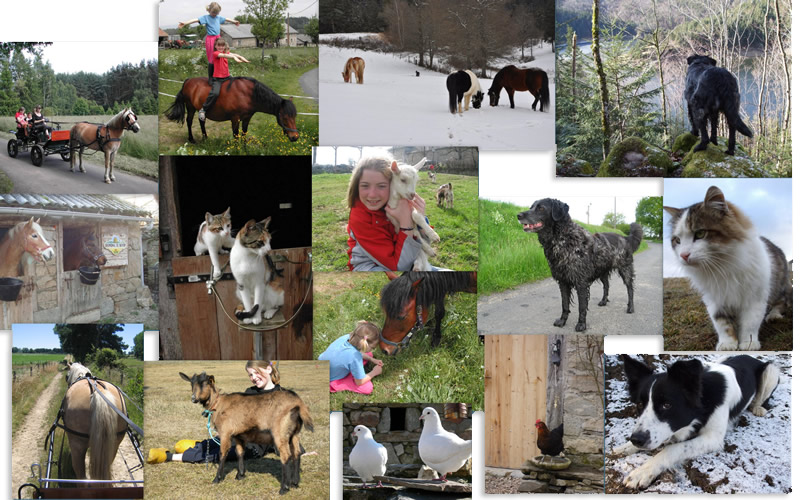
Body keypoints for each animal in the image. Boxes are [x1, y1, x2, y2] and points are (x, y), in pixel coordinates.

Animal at [163, 76, 300, 143]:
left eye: (294, 116)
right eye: (284, 117)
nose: (295, 137)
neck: (249, 94)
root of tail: (188, 80)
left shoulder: (246, 118)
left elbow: (243, 135)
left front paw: (244, 149)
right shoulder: (235, 119)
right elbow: (235, 136)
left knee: (202, 121)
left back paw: (205, 138)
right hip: (190, 107)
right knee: (189, 121)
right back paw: (191, 139)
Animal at [180, 372, 314, 492]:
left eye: (205, 383)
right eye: (191, 383)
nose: (193, 398)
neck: (217, 404)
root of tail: (298, 403)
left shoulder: (225, 432)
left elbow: (222, 454)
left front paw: (217, 479)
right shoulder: (238, 436)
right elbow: (240, 453)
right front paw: (240, 475)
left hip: (280, 432)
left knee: (286, 455)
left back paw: (284, 488)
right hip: (294, 434)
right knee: (297, 453)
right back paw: (295, 483)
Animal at [520, 198, 644, 332]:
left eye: (541, 208)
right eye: (531, 207)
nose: (519, 215)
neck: (562, 239)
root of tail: (624, 237)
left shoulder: (581, 282)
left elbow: (582, 307)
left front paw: (581, 324)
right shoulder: (563, 281)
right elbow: (564, 304)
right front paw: (562, 321)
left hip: (625, 270)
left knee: (630, 289)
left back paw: (630, 307)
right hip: (602, 271)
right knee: (606, 286)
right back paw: (604, 301)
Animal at [664, 185, 792, 352]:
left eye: (700, 233)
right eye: (677, 240)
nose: (684, 255)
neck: (721, 266)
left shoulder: (755, 298)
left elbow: (750, 323)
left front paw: (748, 343)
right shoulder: (715, 300)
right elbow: (722, 324)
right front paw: (728, 344)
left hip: (780, 286)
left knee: (781, 302)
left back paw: (774, 315)